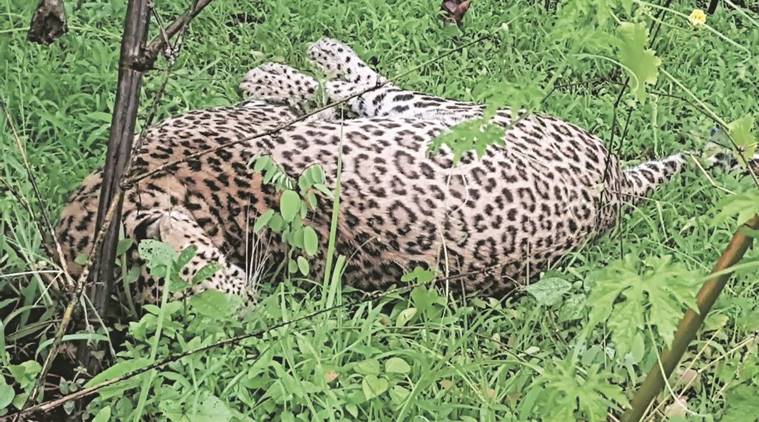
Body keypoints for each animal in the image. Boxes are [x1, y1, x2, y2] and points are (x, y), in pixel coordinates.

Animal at [54, 38, 759, 306]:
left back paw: (314, 54)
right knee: (373, 90)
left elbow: (311, 99)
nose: (247, 304)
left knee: (366, 88)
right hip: (461, 118)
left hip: (456, 115)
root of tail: (615, 186)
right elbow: (319, 100)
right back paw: (315, 57)